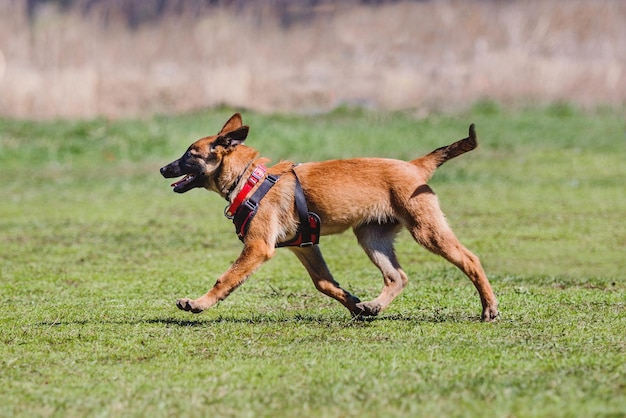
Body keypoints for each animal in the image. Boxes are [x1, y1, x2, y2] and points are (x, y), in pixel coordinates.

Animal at [160, 112, 498, 322]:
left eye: (190, 154)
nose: (163, 169)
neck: (249, 179)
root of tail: (415, 165)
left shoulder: (258, 247)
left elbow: (225, 279)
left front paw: (198, 304)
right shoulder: (305, 247)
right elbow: (325, 283)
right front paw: (356, 306)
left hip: (426, 230)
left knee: (470, 259)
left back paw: (489, 308)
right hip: (371, 236)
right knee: (397, 276)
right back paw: (374, 305)